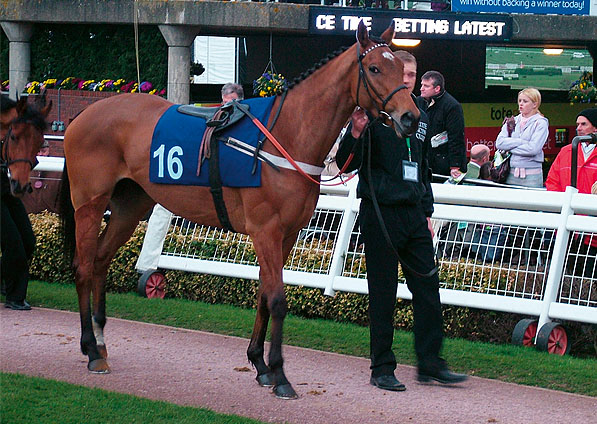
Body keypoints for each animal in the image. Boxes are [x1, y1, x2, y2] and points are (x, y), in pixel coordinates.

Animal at [58, 21, 416, 400]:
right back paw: (90, 349)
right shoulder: (265, 230)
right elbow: (277, 300)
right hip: (89, 203)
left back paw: (100, 342)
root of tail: (83, 115)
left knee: (100, 260)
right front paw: (280, 374)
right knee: (83, 266)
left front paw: (260, 365)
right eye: (375, 68)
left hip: (130, 206)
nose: (410, 116)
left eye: (401, 69)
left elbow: (263, 294)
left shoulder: (286, 234)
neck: (285, 135)